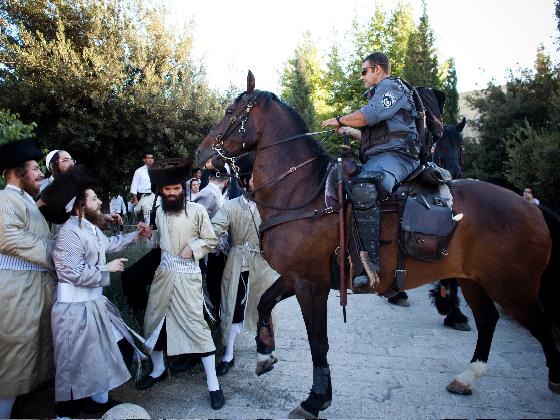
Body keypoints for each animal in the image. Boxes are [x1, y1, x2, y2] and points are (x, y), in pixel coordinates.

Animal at [195, 74, 556, 418]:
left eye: (230, 111)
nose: (200, 153)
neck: (302, 192)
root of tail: (532, 209)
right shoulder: (298, 277)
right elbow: (264, 303)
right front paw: (265, 353)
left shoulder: (311, 284)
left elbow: (318, 342)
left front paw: (316, 399)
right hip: (475, 282)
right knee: (488, 320)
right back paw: (467, 376)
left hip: (513, 288)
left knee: (542, 326)